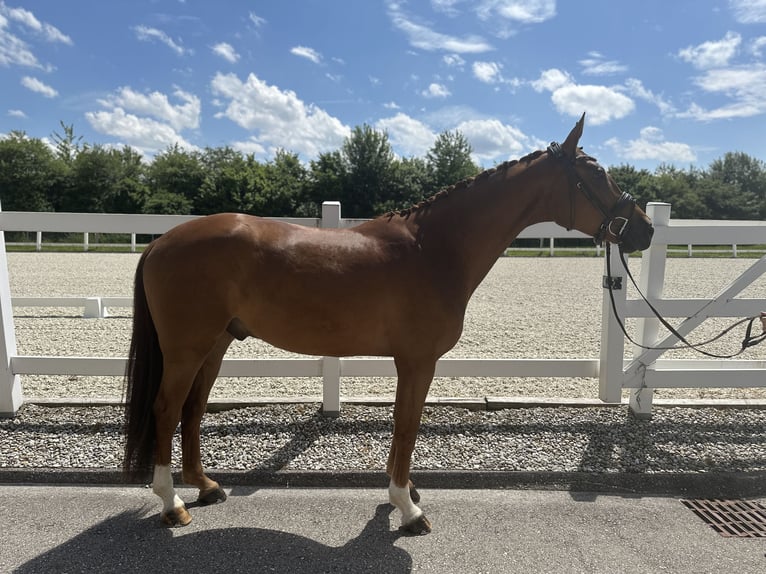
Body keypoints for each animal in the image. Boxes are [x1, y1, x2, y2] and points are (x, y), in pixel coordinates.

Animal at [123, 115, 652, 536]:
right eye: (597, 173)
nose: (644, 229)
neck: (433, 249)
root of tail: (161, 241)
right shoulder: (417, 361)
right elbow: (407, 424)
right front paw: (407, 507)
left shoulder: (411, 361)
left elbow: (404, 425)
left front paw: (407, 494)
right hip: (187, 349)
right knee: (166, 409)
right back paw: (171, 503)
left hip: (215, 345)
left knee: (192, 409)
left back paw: (206, 486)